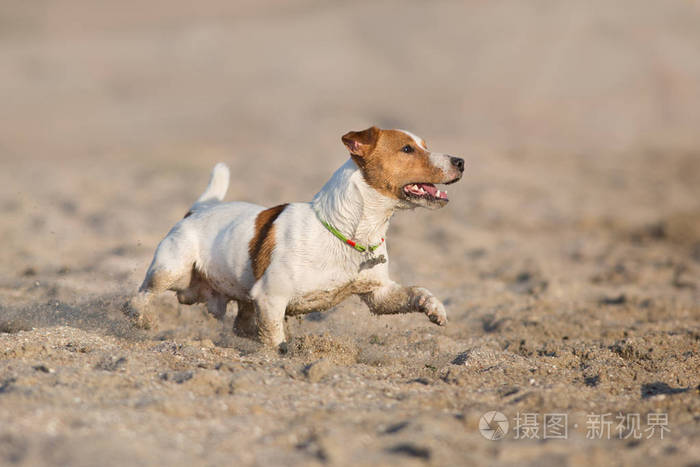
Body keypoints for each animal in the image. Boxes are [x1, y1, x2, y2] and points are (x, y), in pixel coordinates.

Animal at [124, 126, 464, 350]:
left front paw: (436, 309)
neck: (348, 229)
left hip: (238, 300)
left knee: (240, 324)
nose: (461, 161)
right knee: (141, 296)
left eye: (424, 144)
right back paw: (141, 319)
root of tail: (199, 209)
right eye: (407, 149)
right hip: (172, 270)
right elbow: (275, 340)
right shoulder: (271, 297)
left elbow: (417, 292)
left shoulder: (377, 294)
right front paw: (279, 357)